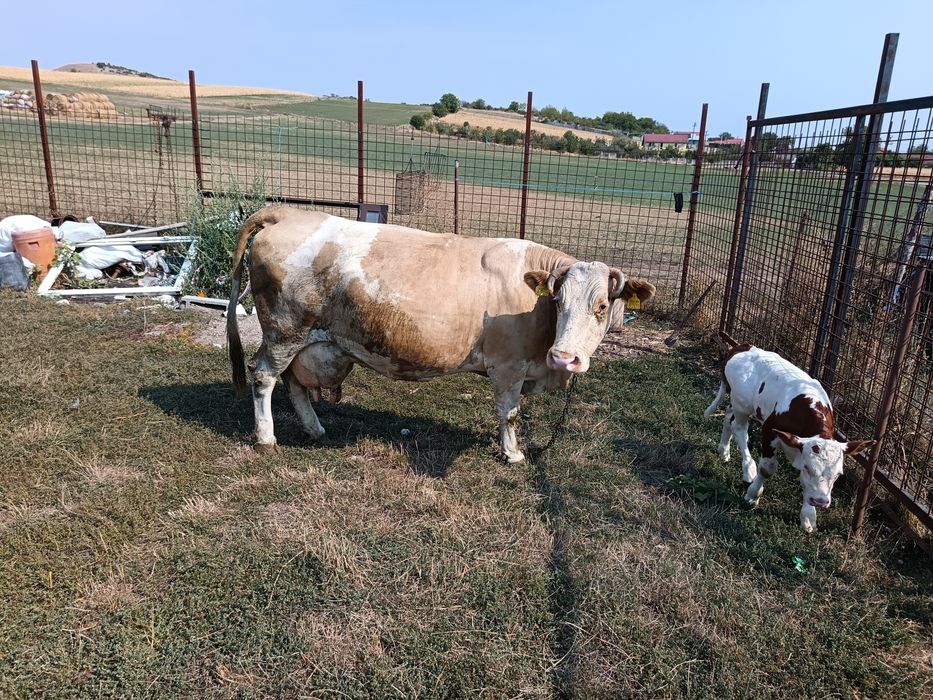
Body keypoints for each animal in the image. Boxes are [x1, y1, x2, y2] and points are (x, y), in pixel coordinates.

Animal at [226, 207, 656, 463]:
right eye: (559, 301)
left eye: (602, 307)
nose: (565, 358)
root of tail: (288, 211)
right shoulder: (509, 366)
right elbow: (510, 413)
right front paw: (512, 454)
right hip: (284, 331)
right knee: (264, 376)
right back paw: (266, 437)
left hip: (301, 340)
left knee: (295, 383)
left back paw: (314, 429)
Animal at [704, 338, 874, 532]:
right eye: (808, 467)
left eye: (838, 475)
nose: (820, 502)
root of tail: (743, 347)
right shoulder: (770, 431)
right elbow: (767, 469)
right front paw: (753, 495)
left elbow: (806, 485)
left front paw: (808, 516)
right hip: (742, 404)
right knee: (739, 429)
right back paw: (748, 468)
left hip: (736, 401)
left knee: (728, 417)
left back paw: (724, 450)